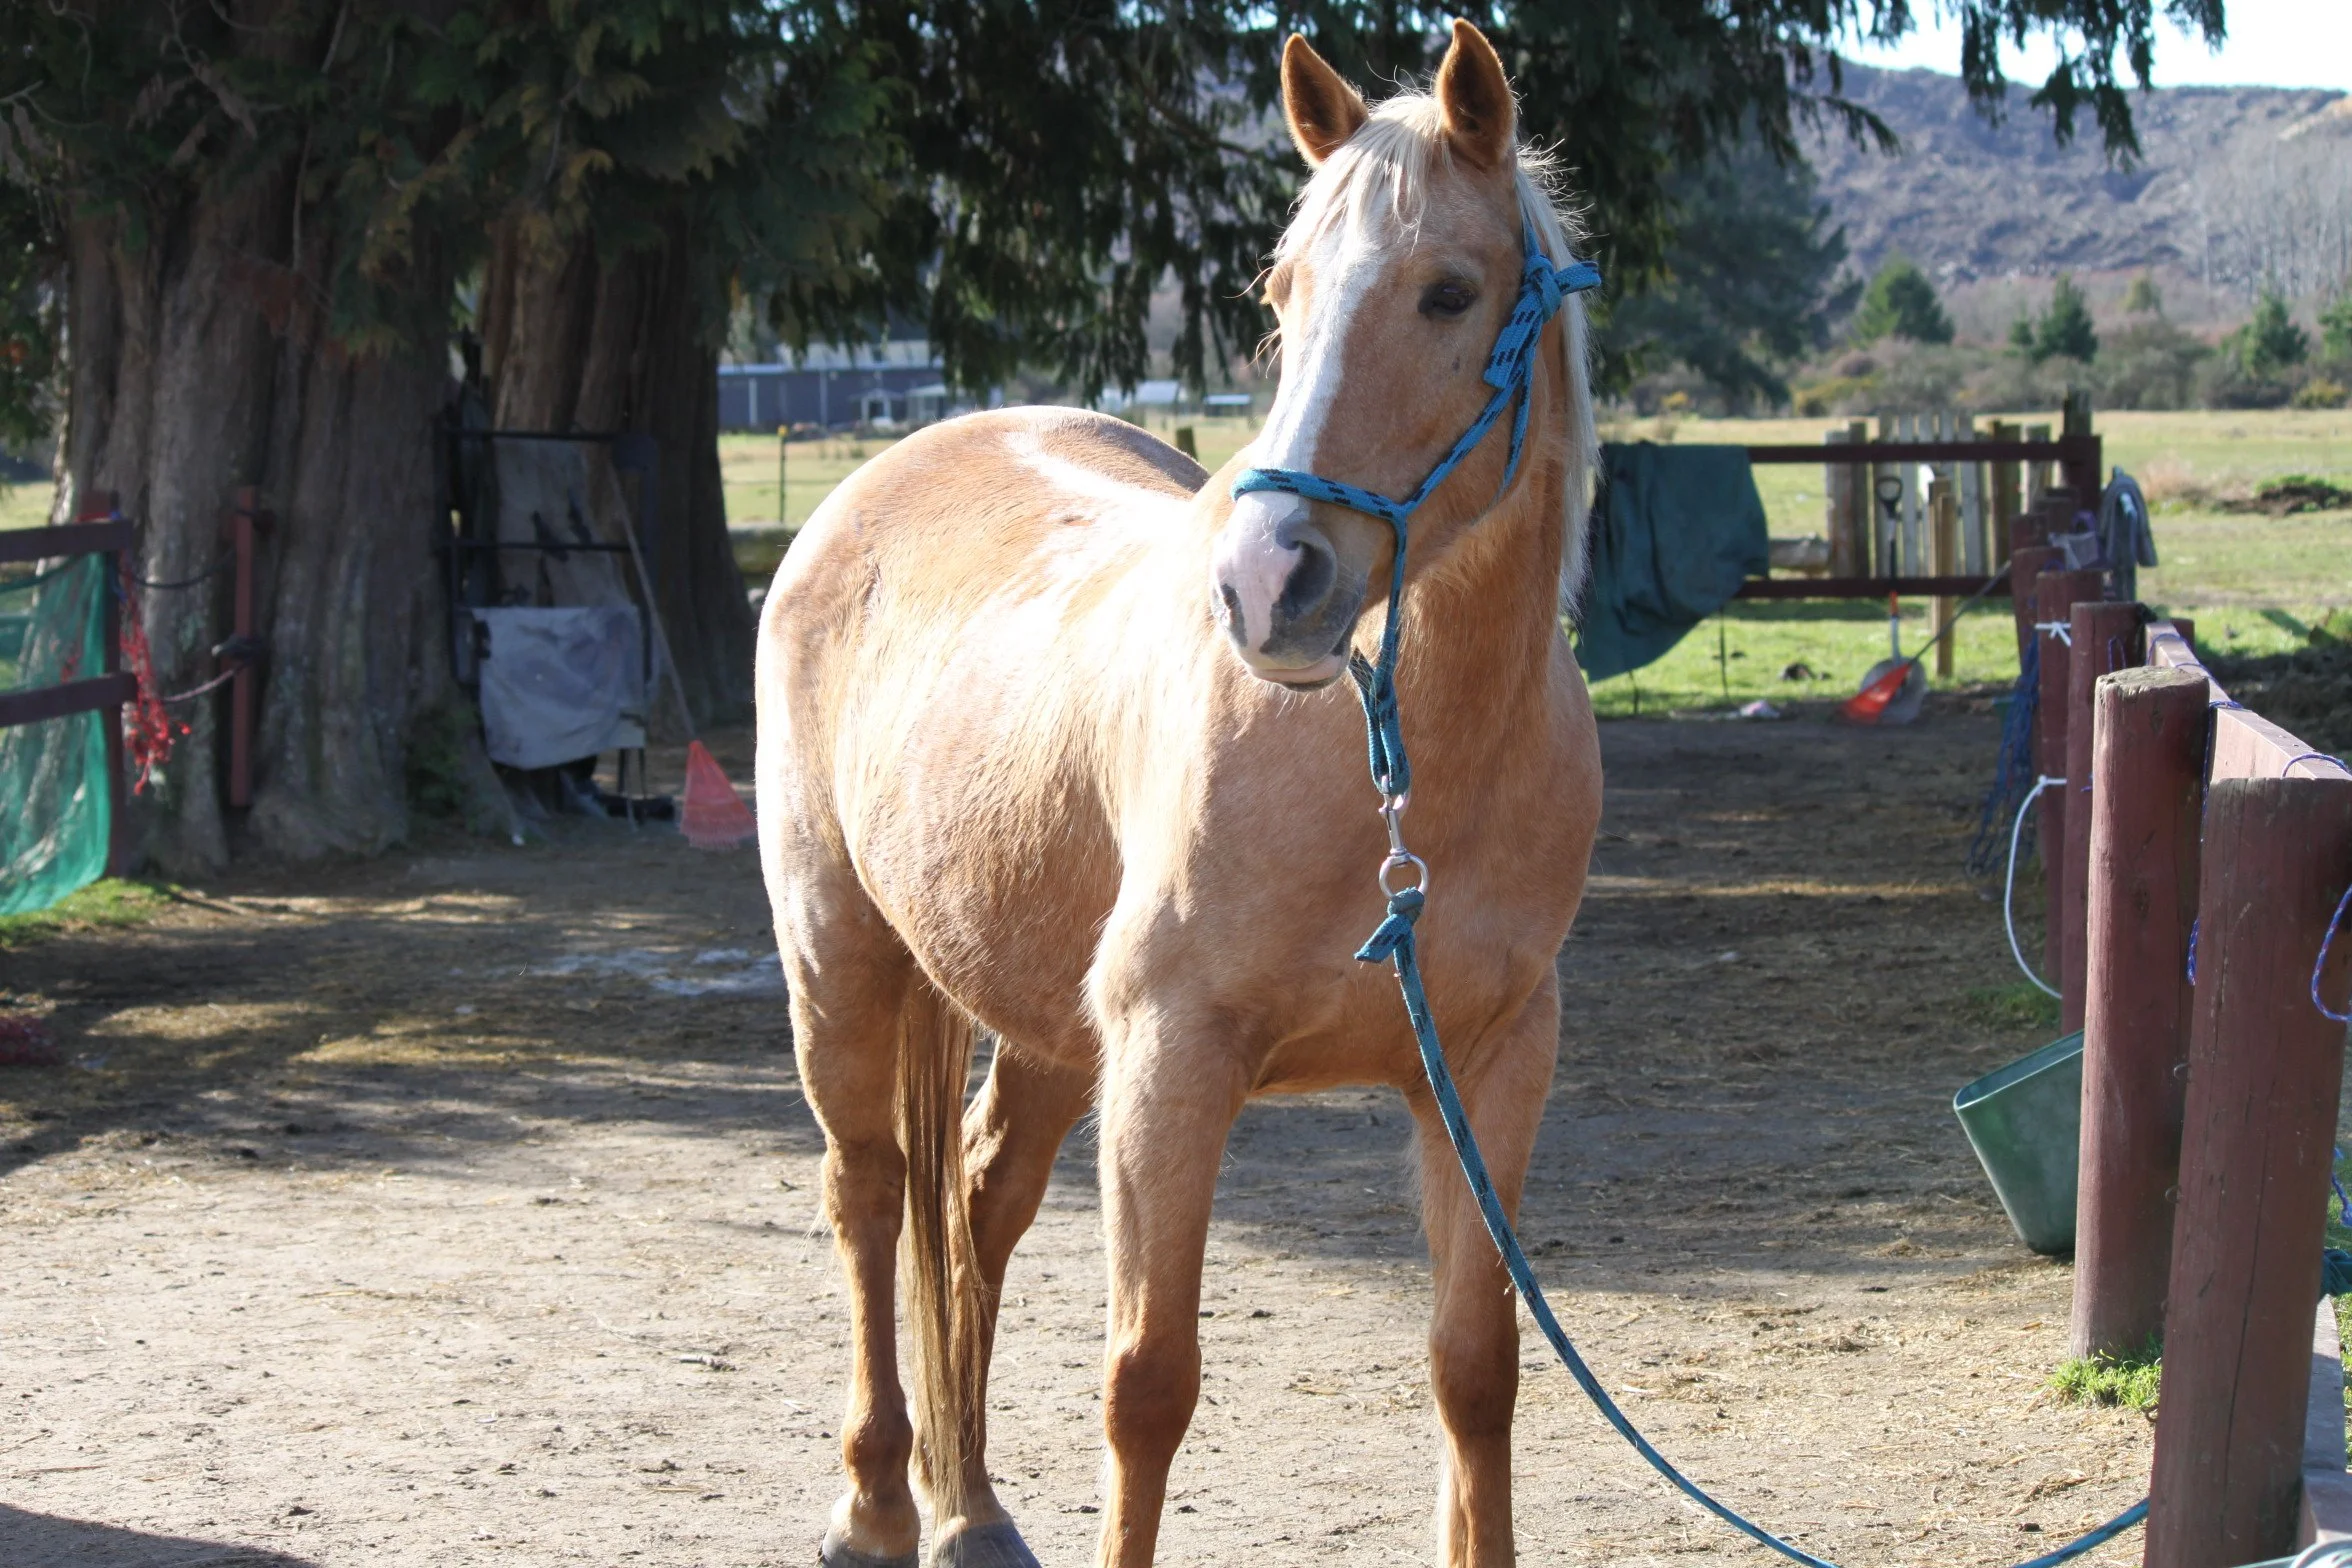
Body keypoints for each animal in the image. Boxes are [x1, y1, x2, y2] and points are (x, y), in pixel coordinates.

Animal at [755, 22, 1603, 1566]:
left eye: (1450, 291)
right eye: (1282, 290)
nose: (1271, 582)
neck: (1397, 775)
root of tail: (873, 486)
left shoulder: (1493, 1065)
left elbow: (1476, 1369)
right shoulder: (1172, 1061)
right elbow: (1148, 1384)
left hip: (1038, 1016)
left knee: (975, 1200)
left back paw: (971, 1507)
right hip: (840, 957)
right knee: (870, 1196)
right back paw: (876, 1501)